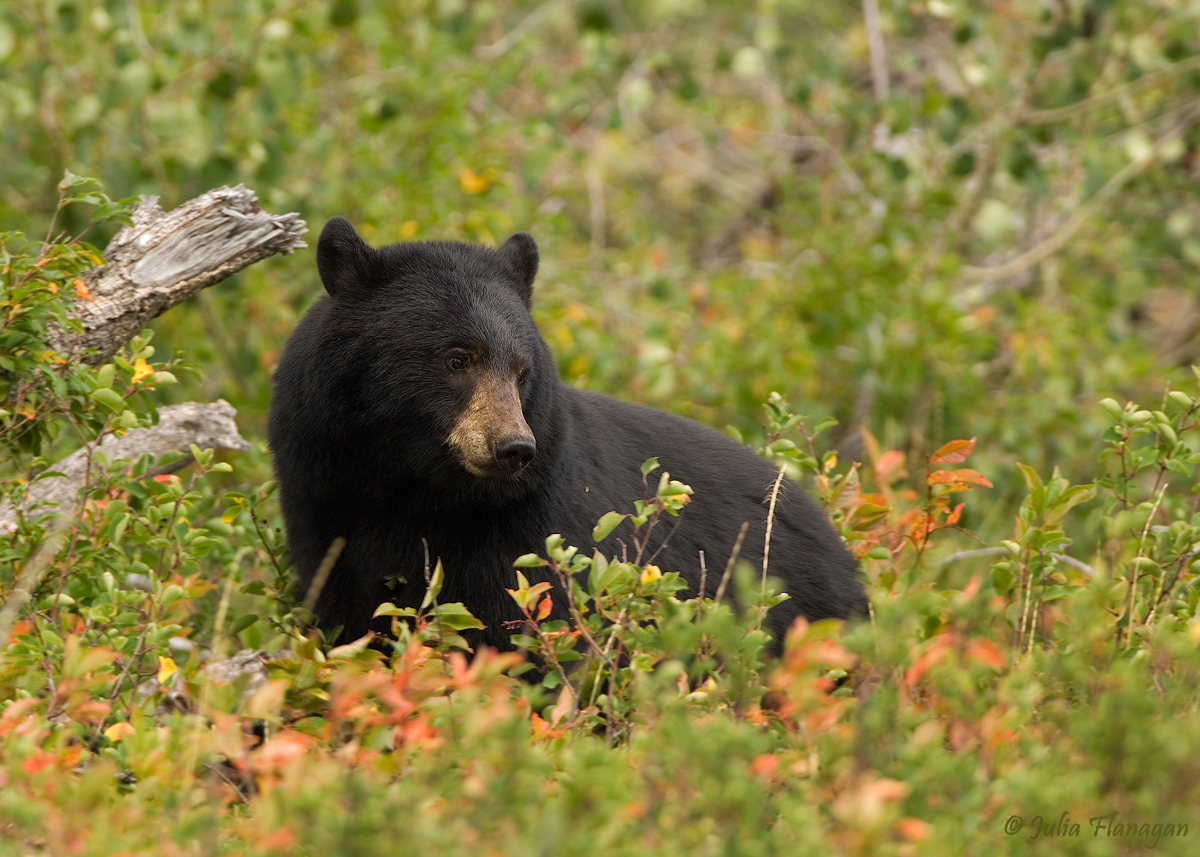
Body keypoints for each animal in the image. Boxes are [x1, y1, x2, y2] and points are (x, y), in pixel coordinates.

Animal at [267, 217, 867, 656]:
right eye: (457, 358)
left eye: (521, 370)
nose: (513, 447)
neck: (415, 489)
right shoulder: (325, 497)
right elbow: (350, 616)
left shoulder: (530, 528)